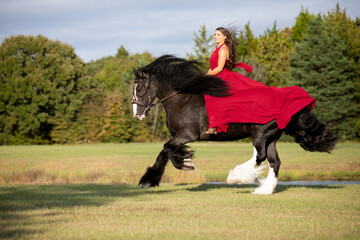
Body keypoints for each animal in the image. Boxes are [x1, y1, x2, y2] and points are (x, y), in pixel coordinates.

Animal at [132, 55, 338, 194]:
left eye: (139, 89)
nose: (137, 114)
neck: (182, 99)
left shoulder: (188, 134)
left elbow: (167, 149)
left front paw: (184, 164)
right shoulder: (179, 136)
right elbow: (165, 151)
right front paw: (151, 179)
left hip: (260, 133)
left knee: (260, 156)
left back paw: (236, 176)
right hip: (271, 137)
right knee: (274, 162)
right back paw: (264, 190)